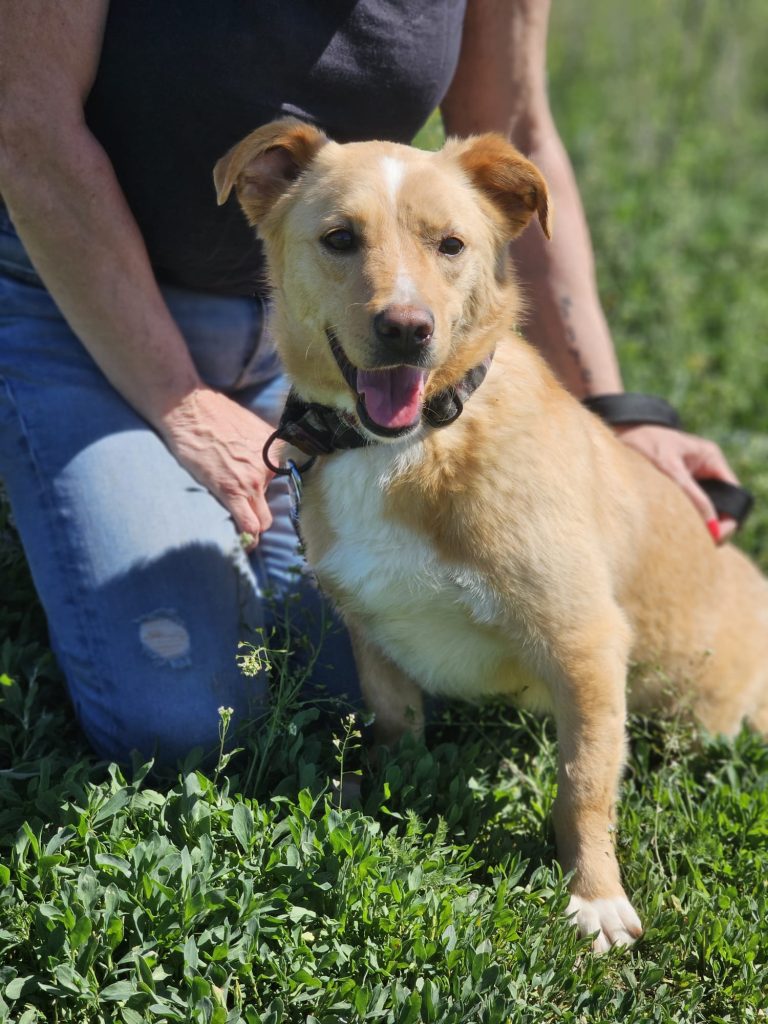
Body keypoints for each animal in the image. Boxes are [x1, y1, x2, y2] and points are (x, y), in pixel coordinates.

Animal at [214, 119, 768, 951]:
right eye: (340, 238)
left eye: (451, 244)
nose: (406, 330)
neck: (409, 445)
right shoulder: (371, 630)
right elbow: (396, 717)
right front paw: (387, 785)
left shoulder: (584, 642)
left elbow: (582, 788)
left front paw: (595, 898)